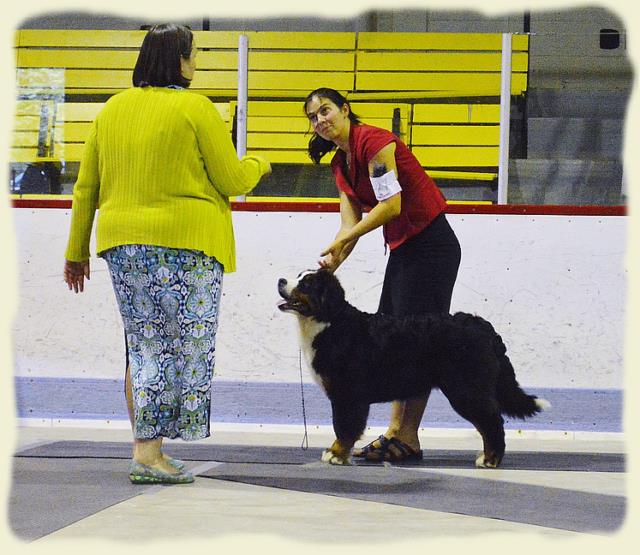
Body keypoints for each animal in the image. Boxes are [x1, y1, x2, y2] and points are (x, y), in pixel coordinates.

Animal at [278, 270, 548, 470]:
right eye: (298, 276)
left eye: (306, 283)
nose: (280, 280)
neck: (329, 323)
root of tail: (483, 327)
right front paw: (336, 452)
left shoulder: (348, 395)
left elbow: (344, 427)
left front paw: (336, 454)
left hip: (467, 390)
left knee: (492, 422)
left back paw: (490, 460)